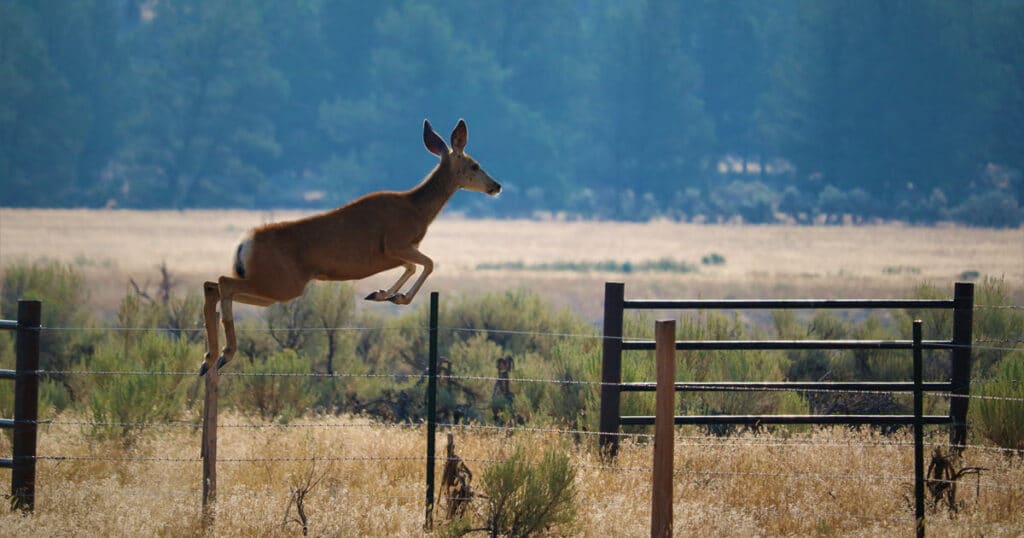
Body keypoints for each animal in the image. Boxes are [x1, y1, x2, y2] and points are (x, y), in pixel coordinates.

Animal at [199, 119, 501, 375]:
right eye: (475, 165)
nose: (496, 186)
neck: (417, 210)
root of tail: (245, 243)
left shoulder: (395, 254)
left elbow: (413, 267)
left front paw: (382, 294)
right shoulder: (396, 244)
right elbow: (428, 263)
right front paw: (397, 297)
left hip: (272, 287)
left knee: (213, 285)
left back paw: (208, 360)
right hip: (280, 282)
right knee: (222, 283)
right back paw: (225, 354)